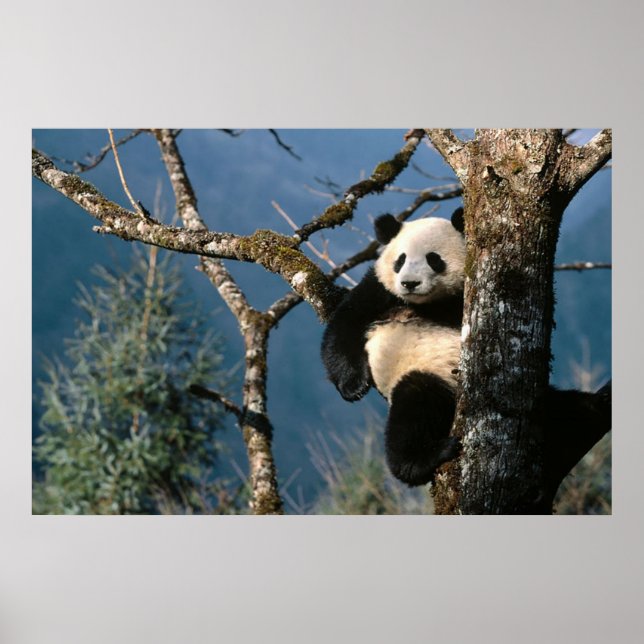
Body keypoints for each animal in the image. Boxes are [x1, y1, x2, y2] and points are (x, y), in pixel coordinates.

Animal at [321, 208, 466, 487]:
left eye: (434, 259)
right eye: (401, 260)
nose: (409, 283)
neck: (426, 303)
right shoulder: (379, 289)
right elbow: (343, 327)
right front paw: (353, 387)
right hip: (427, 374)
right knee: (415, 409)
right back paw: (423, 459)